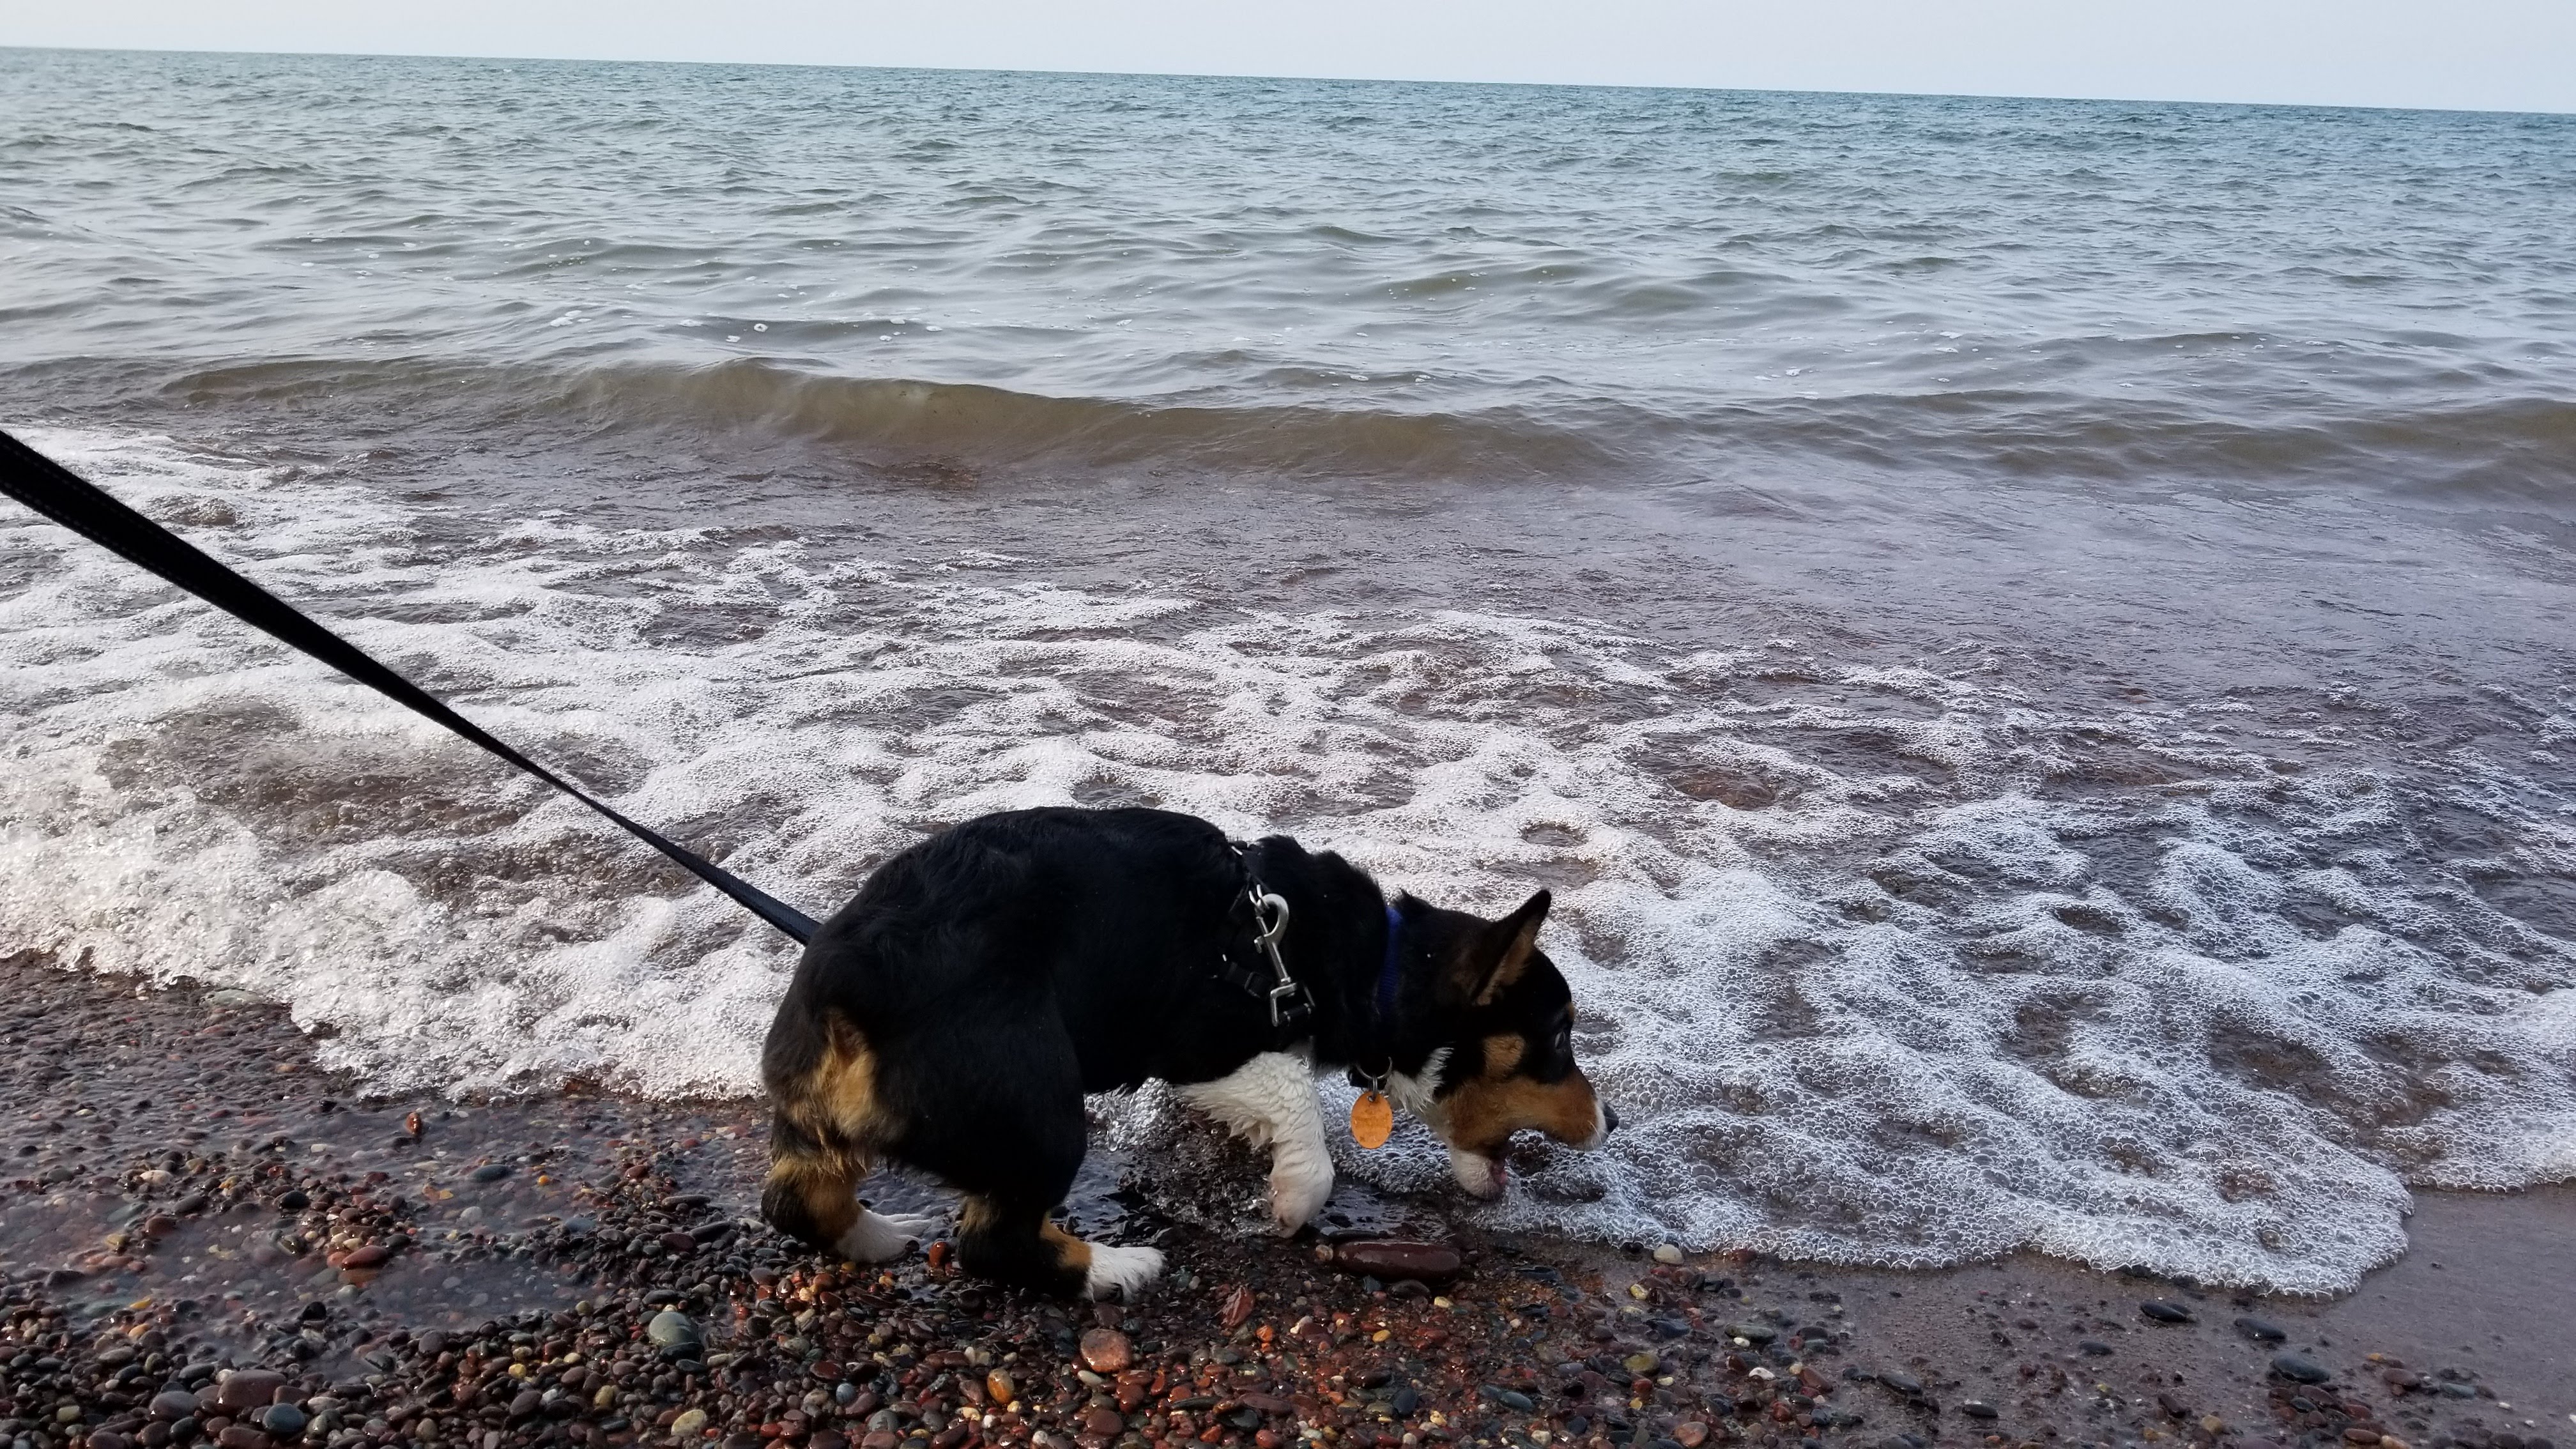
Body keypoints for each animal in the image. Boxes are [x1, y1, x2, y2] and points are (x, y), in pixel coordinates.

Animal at [752, 804, 1618, 1289]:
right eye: (1559, 1035)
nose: (1613, 1123)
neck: (1378, 961)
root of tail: (853, 980)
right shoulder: (1203, 1045)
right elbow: (1302, 1118)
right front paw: (1290, 1203)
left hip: (813, 1120)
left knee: (795, 1200)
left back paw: (877, 1236)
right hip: (1044, 1116)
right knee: (993, 1244)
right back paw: (1114, 1269)